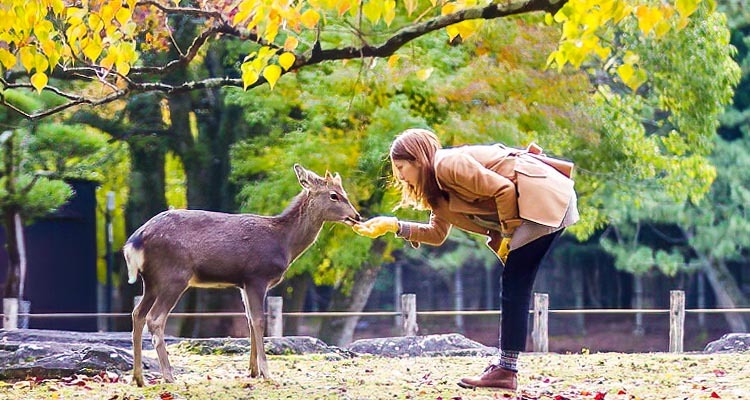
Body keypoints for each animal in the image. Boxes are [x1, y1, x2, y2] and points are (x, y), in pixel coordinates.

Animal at [124, 164, 364, 386]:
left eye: (344, 192)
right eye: (334, 195)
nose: (357, 216)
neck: (283, 243)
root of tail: (134, 242)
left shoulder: (243, 283)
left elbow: (248, 320)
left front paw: (252, 371)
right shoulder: (257, 276)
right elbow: (258, 320)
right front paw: (267, 373)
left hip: (152, 281)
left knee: (137, 313)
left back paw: (139, 378)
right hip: (174, 275)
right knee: (155, 318)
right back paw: (169, 376)